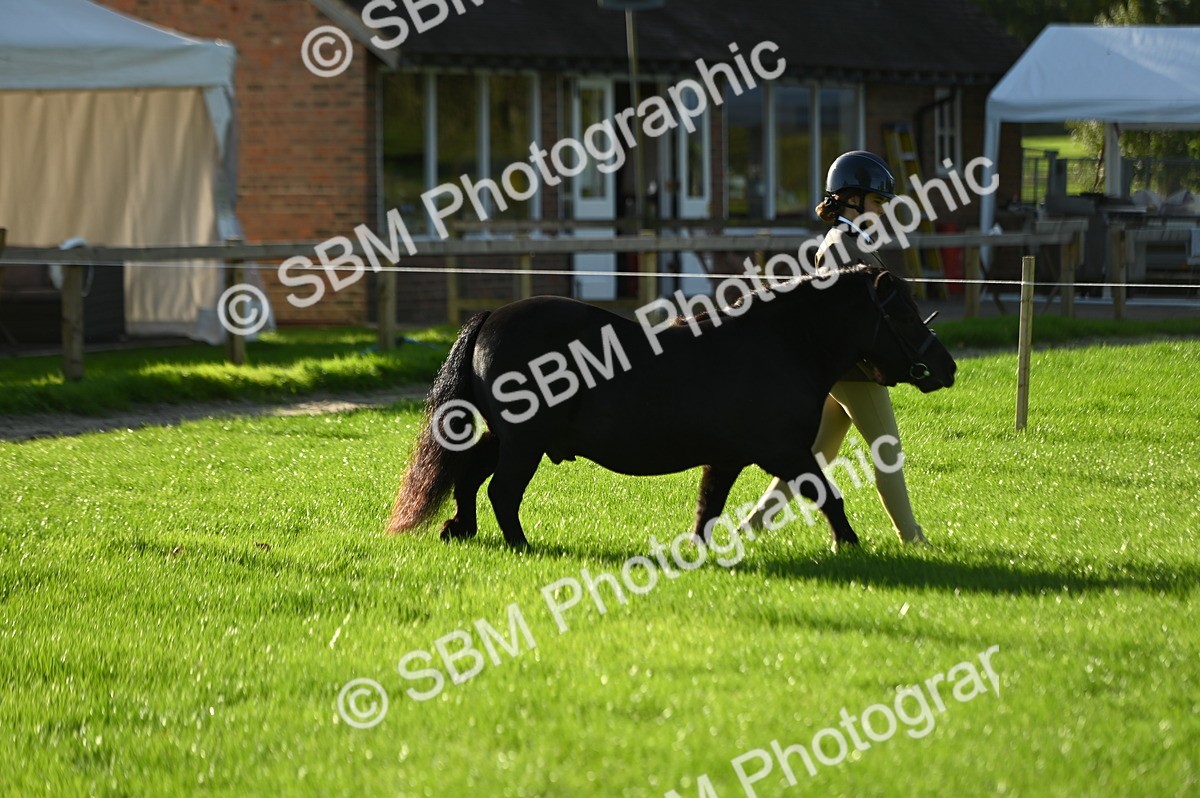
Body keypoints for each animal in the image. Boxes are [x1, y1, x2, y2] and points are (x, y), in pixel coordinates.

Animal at [388, 264, 956, 551]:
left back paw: (460, 529)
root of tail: (491, 316)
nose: (946, 366)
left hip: (507, 437)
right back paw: (521, 545)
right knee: (502, 492)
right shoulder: (787, 452)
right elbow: (829, 496)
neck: (785, 341)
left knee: (469, 475)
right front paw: (850, 544)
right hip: (524, 442)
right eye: (905, 314)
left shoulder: (728, 458)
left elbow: (708, 509)